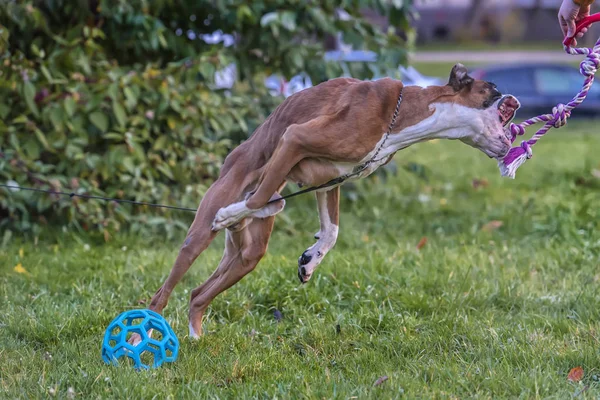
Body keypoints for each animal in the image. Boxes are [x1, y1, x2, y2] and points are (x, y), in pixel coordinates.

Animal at [132, 63, 520, 340]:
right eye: (493, 90)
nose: (515, 101)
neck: (401, 117)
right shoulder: (295, 139)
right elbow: (258, 197)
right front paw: (230, 212)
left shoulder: (329, 179)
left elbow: (330, 230)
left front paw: (310, 260)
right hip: (199, 237)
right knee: (163, 293)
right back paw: (140, 339)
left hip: (246, 256)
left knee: (198, 293)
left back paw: (195, 338)